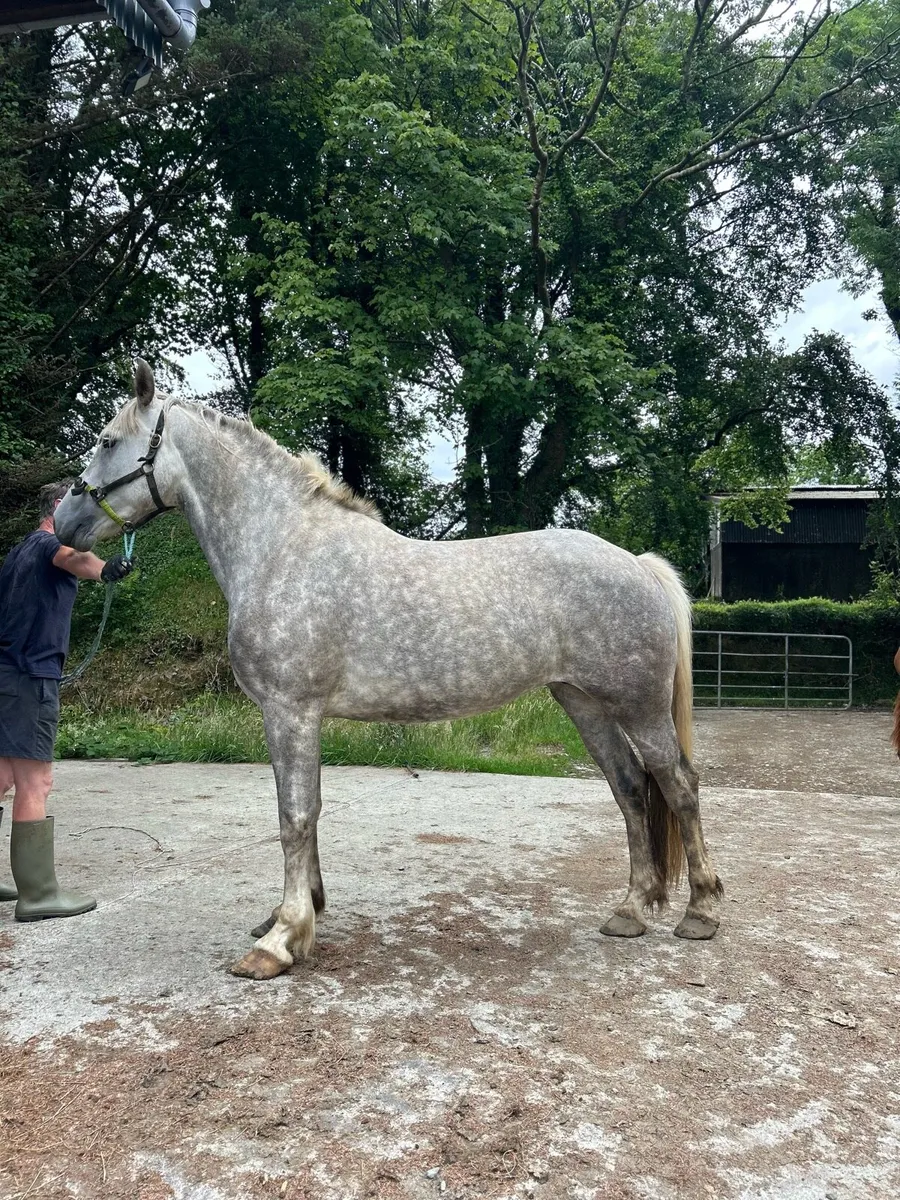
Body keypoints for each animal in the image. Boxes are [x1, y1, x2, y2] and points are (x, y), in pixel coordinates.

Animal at [54, 360, 723, 981]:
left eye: (108, 440)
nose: (63, 523)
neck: (282, 548)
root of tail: (638, 566)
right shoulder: (299, 716)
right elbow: (307, 810)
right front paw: (299, 912)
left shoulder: (290, 710)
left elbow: (294, 816)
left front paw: (280, 942)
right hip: (584, 703)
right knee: (630, 788)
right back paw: (631, 910)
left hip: (637, 706)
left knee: (678, 786)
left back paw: (701, 913)